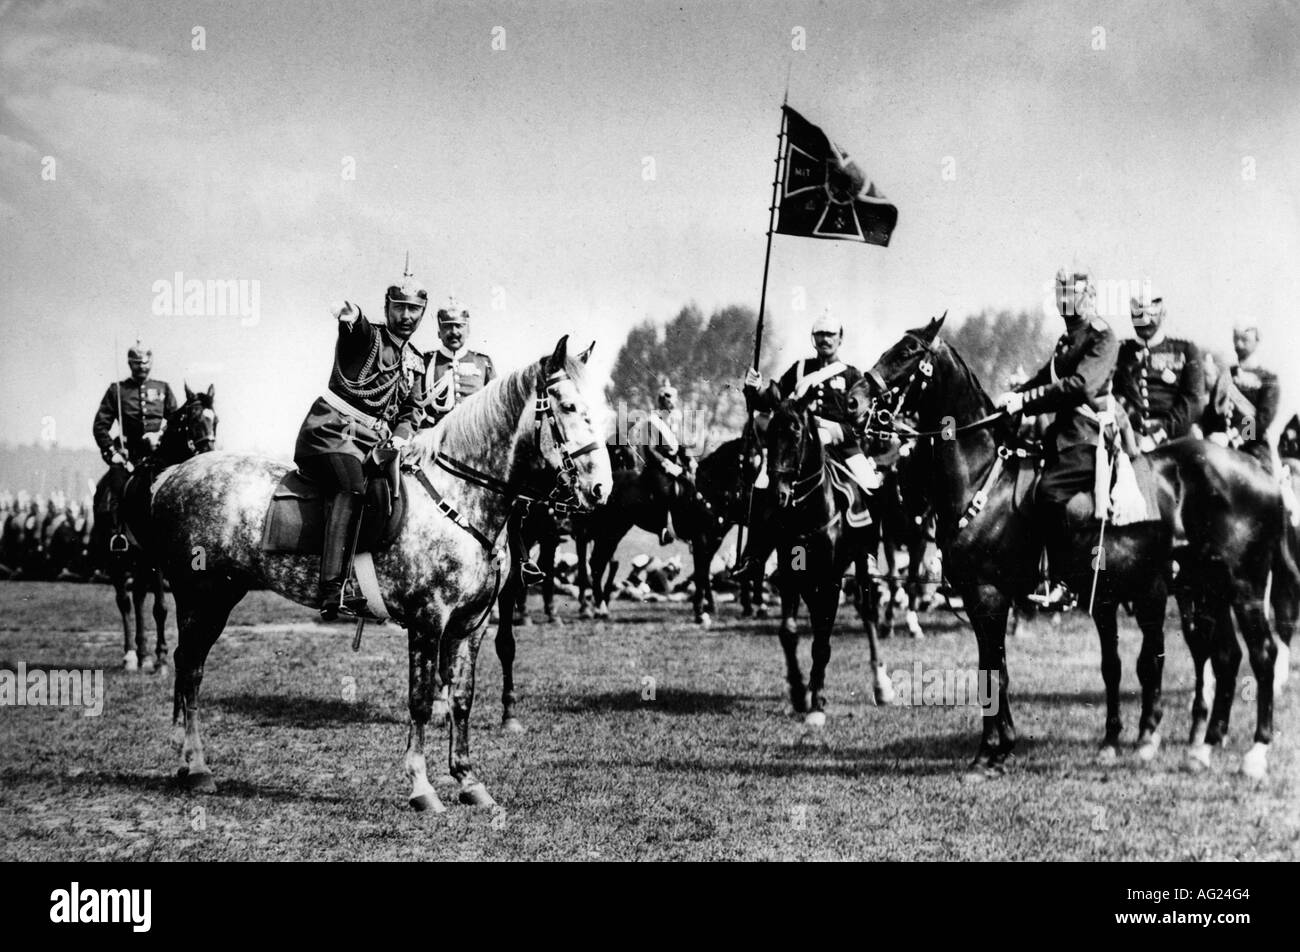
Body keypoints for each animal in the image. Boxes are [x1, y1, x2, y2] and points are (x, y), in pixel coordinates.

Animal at [842, 316, 1289, 775]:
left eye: (906, 353)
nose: (853, 401)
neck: (985, 478)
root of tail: (1261, 473)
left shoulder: (988, 595)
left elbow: (992, 672)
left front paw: (989, 753)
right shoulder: (987, 597)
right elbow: (998, 668)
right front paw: (1001, 748)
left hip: (1243, 586)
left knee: (1263, 653)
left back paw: (1255, 751)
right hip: (1207, 588)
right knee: (1227, 655)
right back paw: (1206, 746)